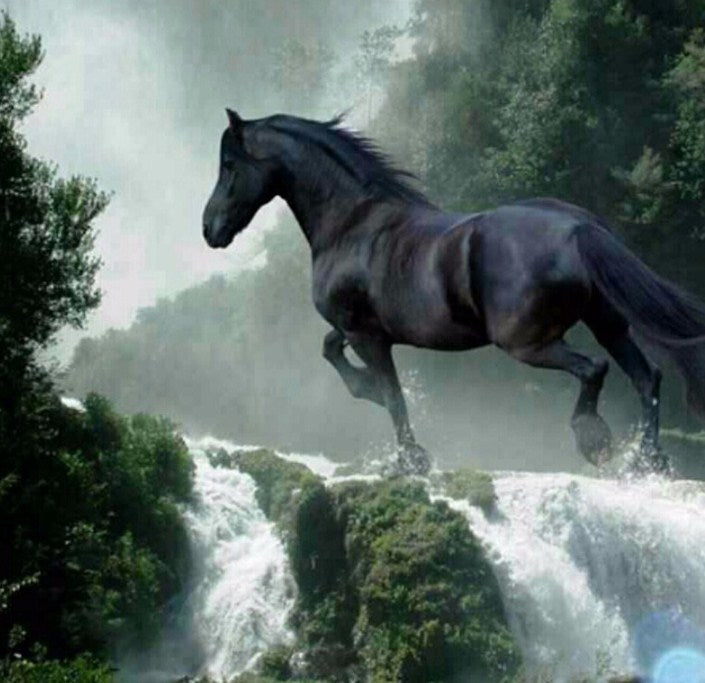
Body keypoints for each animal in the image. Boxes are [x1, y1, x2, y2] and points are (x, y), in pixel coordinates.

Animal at [202, 109, 705, 475]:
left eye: (229, 166)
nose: (210, 229)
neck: (352, 224)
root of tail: (577, 227)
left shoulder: (368, 336)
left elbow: (393, 396)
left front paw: (411, 459)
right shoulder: (355, 330)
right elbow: (333, 352)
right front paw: (368, 392)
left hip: (526, 342)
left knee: (595, 369)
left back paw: (594, 440)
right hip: (607, 323)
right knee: (647, 377)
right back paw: (647, 462)